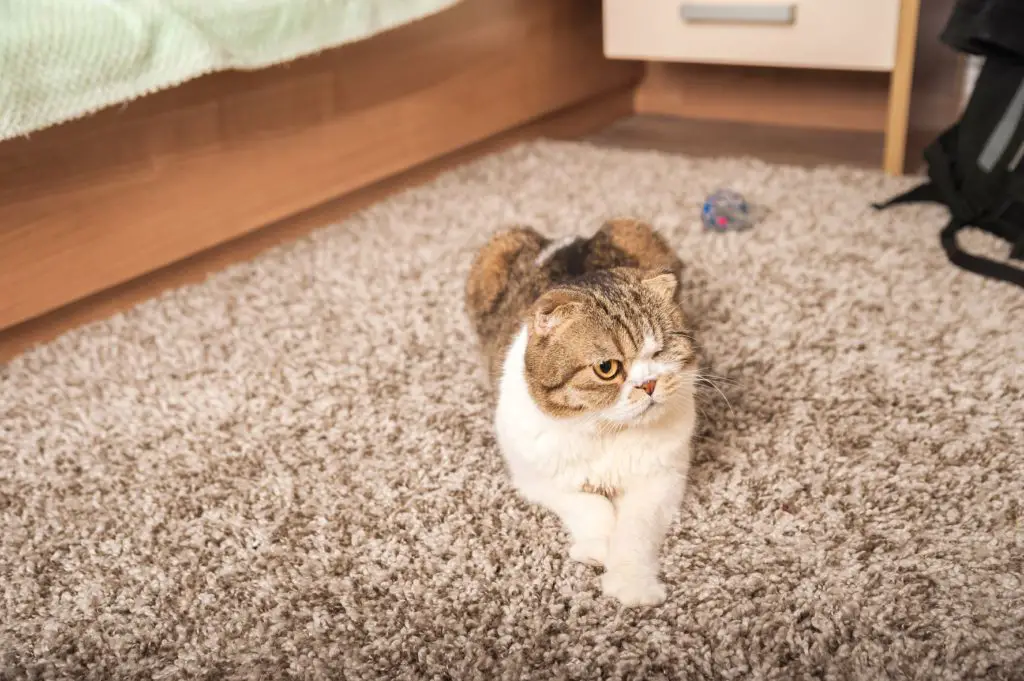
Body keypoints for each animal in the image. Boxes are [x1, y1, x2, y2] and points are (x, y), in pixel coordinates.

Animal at [466, 216, 700, 606]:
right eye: (607, 368)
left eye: (660, 352)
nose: (649, 384)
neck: (606, 431)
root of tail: (567, 237)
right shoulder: (536, 477)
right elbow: (592, 507)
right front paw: (597, 550)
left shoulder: (660, 480)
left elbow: (634, 533)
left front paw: (632, 585)